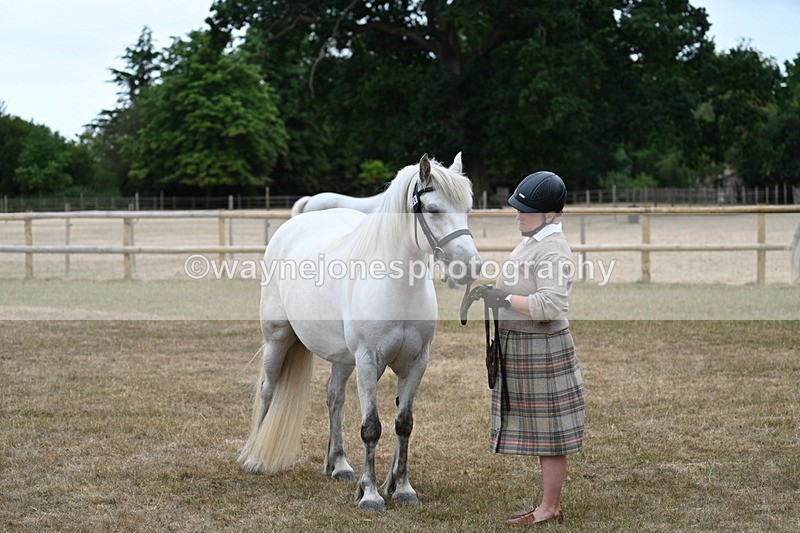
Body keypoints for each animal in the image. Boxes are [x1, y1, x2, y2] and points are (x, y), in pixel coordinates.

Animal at [238, 153, 481, 511]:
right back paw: (255, 457)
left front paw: (402, 487)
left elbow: (403, 424)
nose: (471, 266)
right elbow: (371, 427)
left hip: (342, 358)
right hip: (277, 339)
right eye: (434, 209)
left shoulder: (416, 363)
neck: (398, 288)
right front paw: (371, 495)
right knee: (268, 389)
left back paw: (338, 464)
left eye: (467, 208)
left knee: (334, 397)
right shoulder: (368, 362)